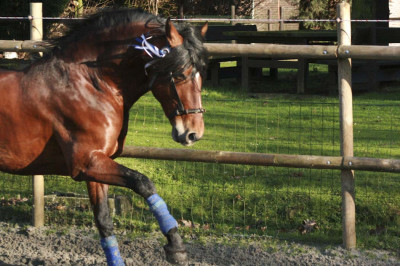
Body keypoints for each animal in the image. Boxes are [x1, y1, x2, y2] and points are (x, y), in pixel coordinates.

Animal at [0, 8, 208, 266]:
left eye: (201, 74)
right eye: (180, 74)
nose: (193, 133)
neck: (91, 83)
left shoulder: (97, 165)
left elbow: (104, 222)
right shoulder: (86, 163)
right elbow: (143, 182)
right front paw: (175, 245)